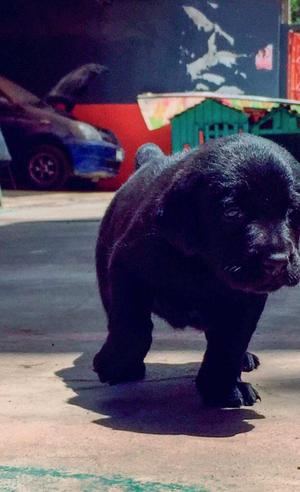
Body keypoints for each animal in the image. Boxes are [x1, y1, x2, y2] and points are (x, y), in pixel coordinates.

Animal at [94, 135, 300, 408]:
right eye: (232, 213)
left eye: (292, 212)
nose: (277, 261)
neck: (205, 267)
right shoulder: (126, 265)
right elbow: (132, 325)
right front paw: (115, 364)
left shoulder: (246, 301)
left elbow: (230, 343)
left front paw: (223, 389)